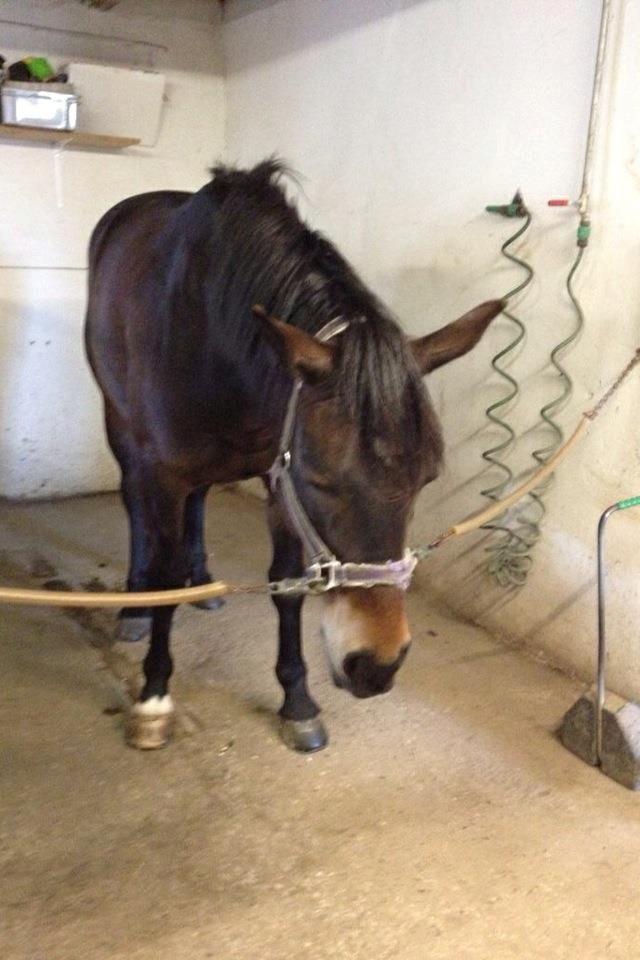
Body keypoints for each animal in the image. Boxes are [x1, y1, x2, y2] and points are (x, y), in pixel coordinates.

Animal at [85, 159, 501, 752]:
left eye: (427, 479)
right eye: (322, 479)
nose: (376, 667)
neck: (212, 335)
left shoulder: (277, 473)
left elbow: (286, 587)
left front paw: (297, 700)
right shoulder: (174, 472)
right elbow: (162, 578)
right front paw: (154, 696)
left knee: (200, 501)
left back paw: (201, 577)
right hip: (121, 428)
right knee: (134, 505)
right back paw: (133, 606)